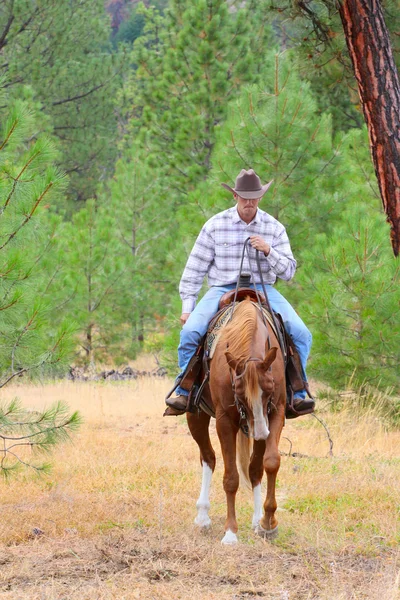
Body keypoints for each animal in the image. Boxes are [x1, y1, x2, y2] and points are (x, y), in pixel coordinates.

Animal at [186, 298, 286, 548]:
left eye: (269, 389)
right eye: (239, 395)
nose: (260, 433)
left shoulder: (276, 412)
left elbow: (270, 463)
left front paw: (267, 523)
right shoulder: (224, 420)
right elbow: (230, 477)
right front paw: (230, 532)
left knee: (254, 469)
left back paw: (257, 519)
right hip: (196, 416)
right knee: (208, 458)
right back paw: (202, 516)